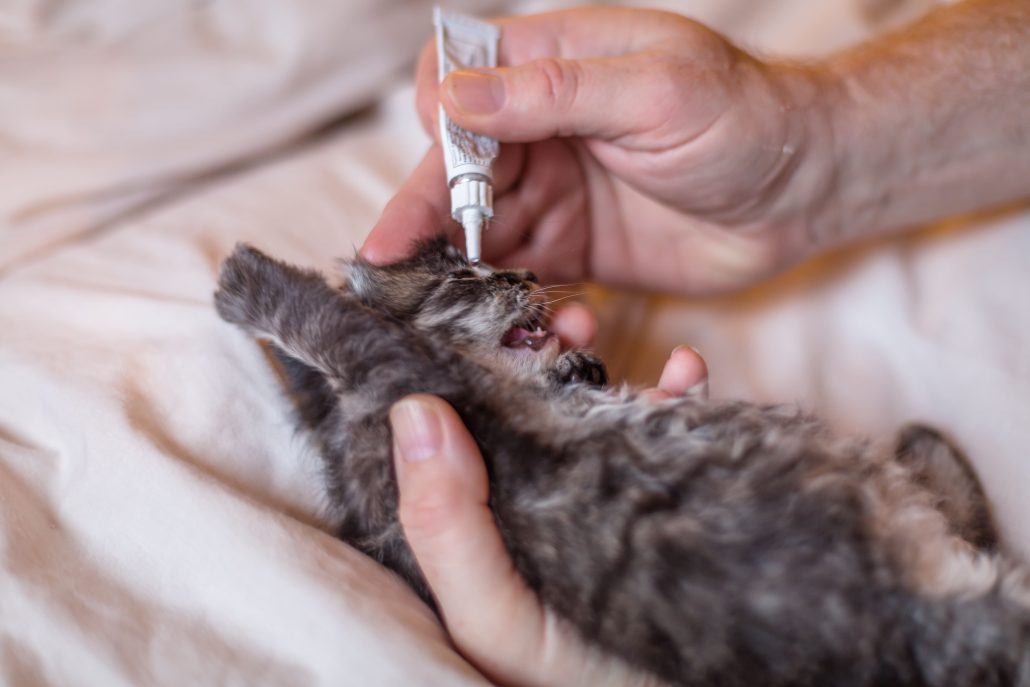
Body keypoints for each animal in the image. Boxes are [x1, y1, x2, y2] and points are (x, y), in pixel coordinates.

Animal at [213, 241, 1025, 687]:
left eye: (496, 261)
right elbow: (319, 319)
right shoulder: (400, 373)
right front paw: (244, 280)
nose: (526, 268)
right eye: (466, 276)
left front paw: (582, 365)